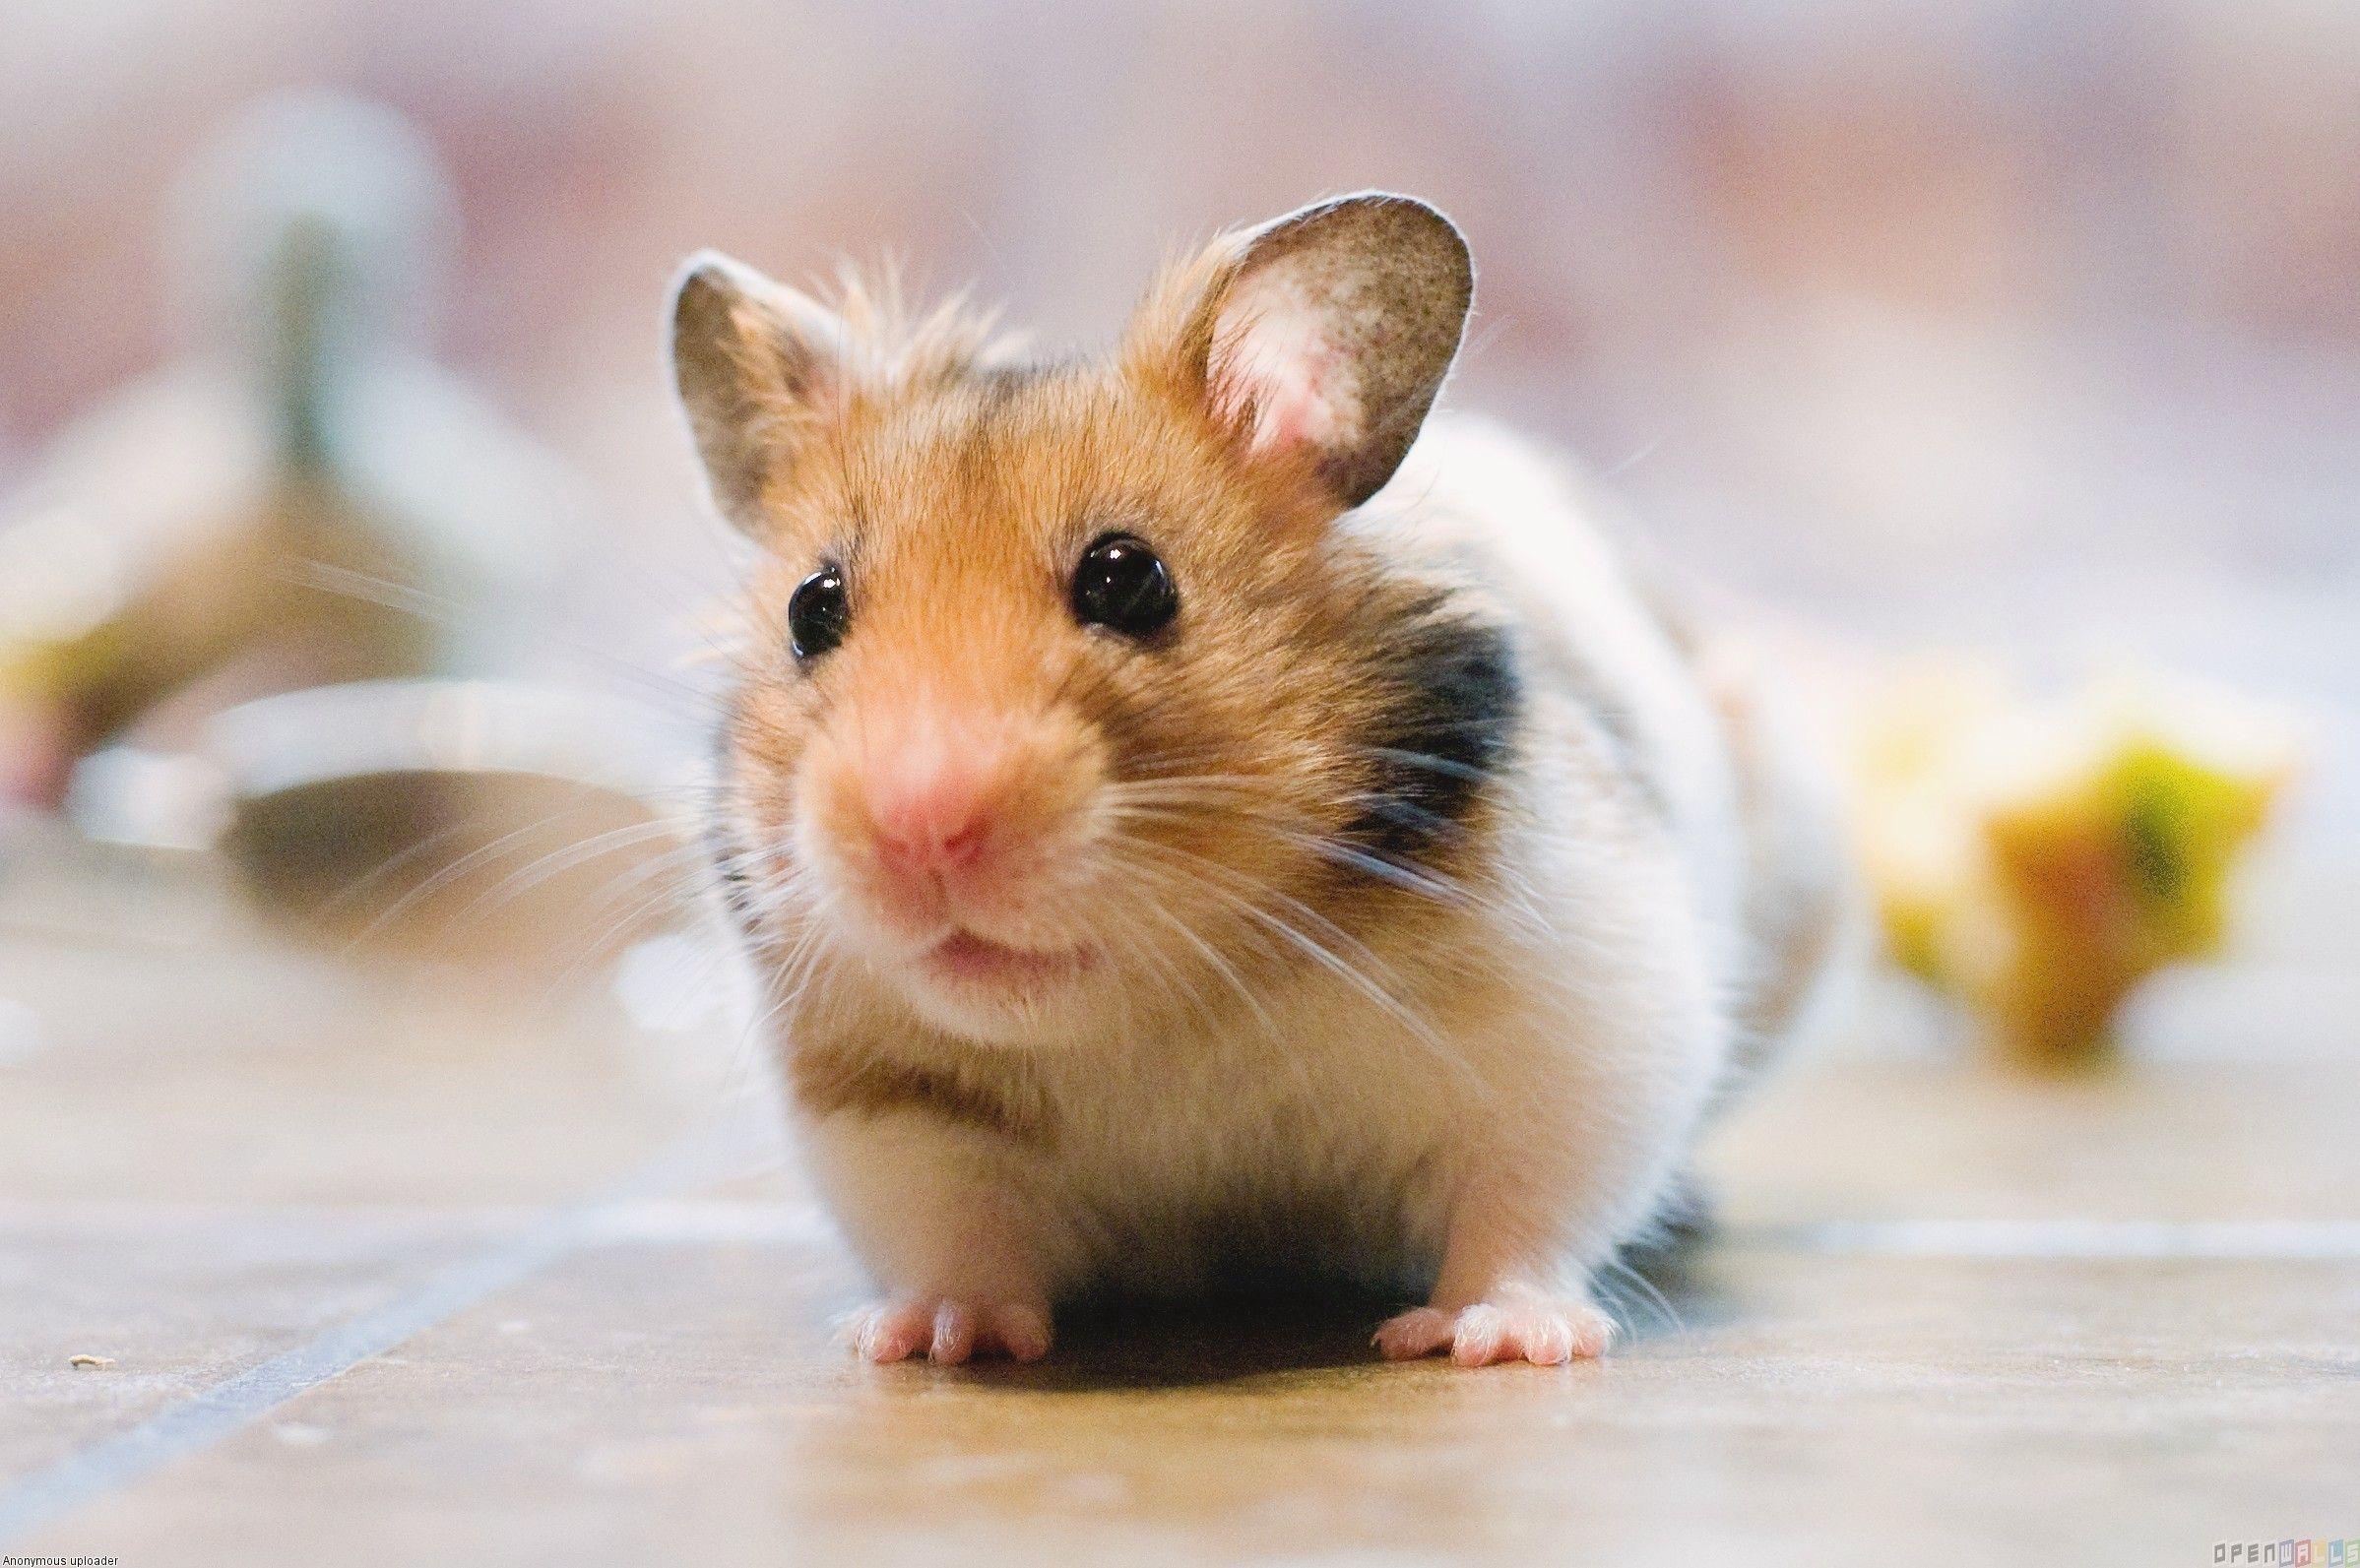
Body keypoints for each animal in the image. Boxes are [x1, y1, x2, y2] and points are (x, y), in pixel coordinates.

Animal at [667, 192, 1846, 1367]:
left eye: (1128, 579)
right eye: (812, 608)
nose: (920, 830)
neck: (1166, 1005)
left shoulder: (1586, 1023)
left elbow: (1527, 1204)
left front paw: (1494, 1341)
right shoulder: (881, 1108)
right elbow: (953, 1230)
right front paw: (927, 1341)